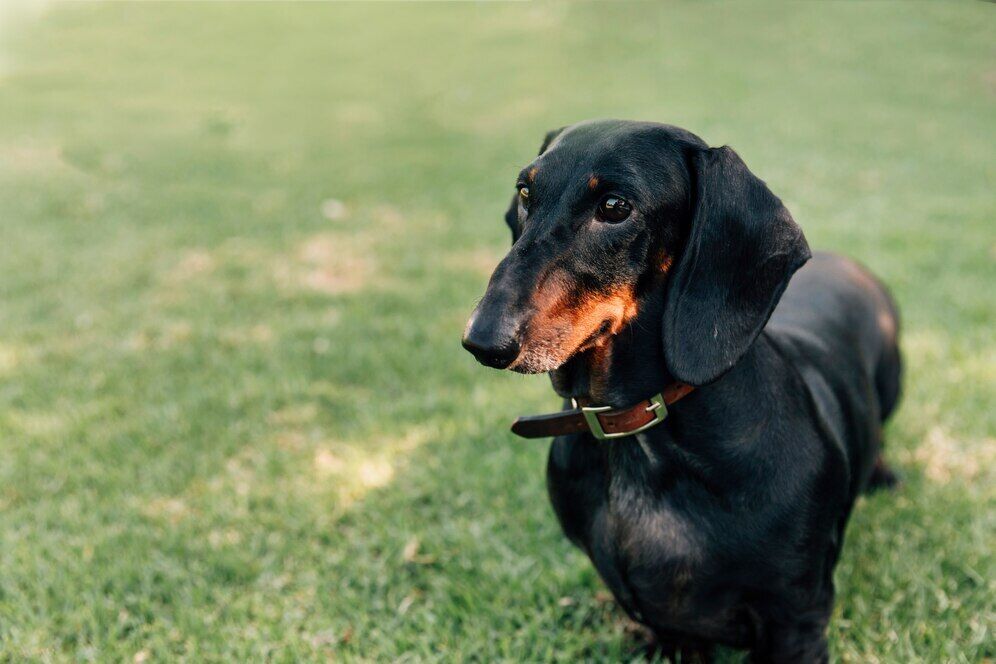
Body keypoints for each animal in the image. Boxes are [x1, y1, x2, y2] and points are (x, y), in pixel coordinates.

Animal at [462, 120, 900, 664]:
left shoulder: (797, 618)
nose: (481, 341)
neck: (637, 427)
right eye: (525, 191)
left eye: (615, 206)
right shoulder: (672, 630)